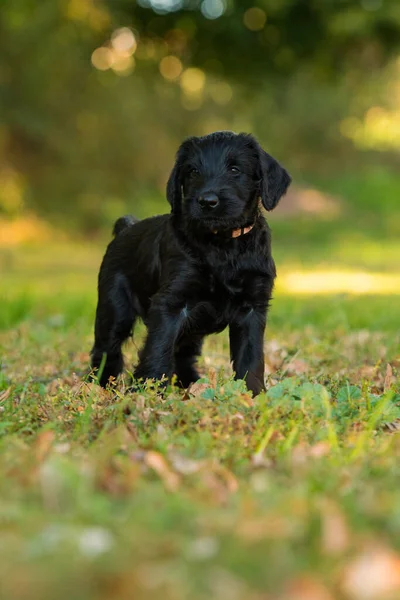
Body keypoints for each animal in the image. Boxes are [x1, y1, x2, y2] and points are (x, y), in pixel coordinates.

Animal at [90, 131, 290, 394]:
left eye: (235, 169)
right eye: (193, 171)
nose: (207, 201)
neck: (222, 245)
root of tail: (126, 228)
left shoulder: (253, 308)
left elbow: (251, 355)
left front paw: (252, 393)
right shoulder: (171, 304)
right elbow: (158, 348)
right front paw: (150, 391)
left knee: (184, 355)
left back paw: (191, 385)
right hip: (115, 308)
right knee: (106, 350)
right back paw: (101, 387)